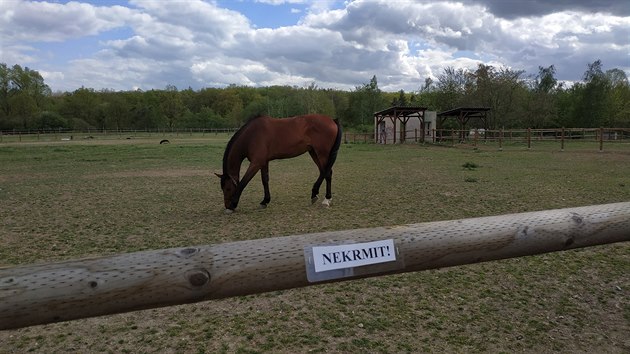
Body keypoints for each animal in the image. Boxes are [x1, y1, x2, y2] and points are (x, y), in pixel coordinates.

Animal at [218, 115, 346, 212]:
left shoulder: (256, 163)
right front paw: (265, 201)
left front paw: (234, 204)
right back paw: (315, 194)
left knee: (327, 173)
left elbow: (244, 182)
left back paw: (326, 199)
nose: (227, 205)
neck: (252, 135)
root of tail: (332, 120)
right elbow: (265, 180)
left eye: (228, 188)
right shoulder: (263, 162)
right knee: (323, 172)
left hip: (322, 153)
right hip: (313, 152)